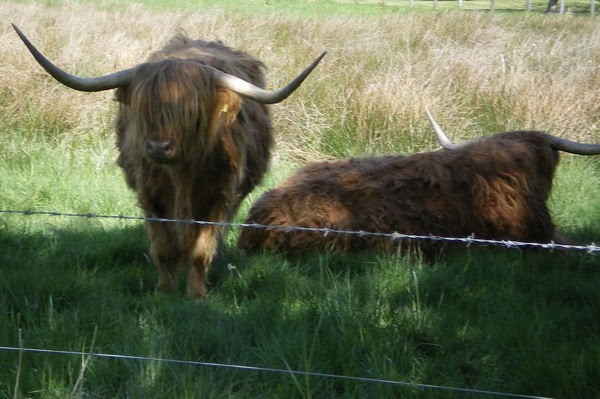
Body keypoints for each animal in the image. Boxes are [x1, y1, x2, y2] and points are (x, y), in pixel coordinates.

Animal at [12, 25, 324, 298]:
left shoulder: (217, 197)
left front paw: (196, 295)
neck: (181, 176)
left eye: (189, 110)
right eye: (145, 107)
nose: (158, 146)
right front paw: (164, 291)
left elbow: (200, 250)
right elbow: (163, 248)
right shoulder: (151, 197)